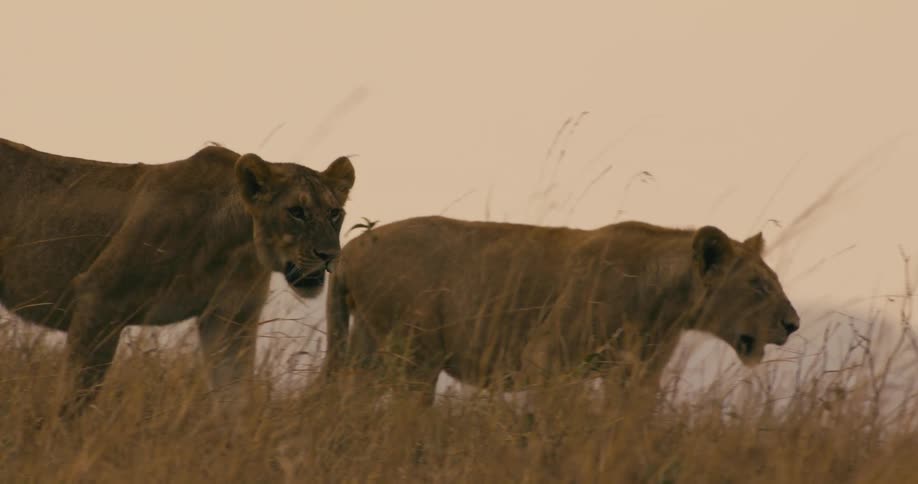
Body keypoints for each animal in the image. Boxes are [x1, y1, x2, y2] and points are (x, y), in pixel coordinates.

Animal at [0, 137, 355, 415]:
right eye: (296, 211)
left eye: (334, 213)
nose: (329, 255)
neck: (233, 242)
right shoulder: (98, 298)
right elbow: (75, 400)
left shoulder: (230, 321)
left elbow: (235, 400)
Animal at [323, 216, 800, 406]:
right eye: (757, 285)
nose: (793, 324)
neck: (668, 305)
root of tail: (349, 250)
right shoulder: (547, 359)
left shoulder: (638, 376)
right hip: (415, 355)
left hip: (367, 349)